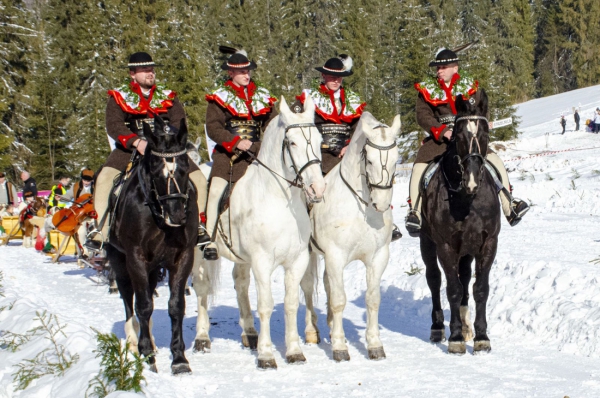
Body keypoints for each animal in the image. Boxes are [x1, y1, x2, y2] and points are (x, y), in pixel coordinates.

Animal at [108, 115, 199, 374]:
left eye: (185, 168)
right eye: (157, 172)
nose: (178, 216)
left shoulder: (182, 257)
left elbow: (176, 305)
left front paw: (179, 358)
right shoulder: (135, 258)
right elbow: (143, 305)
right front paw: (146, 352)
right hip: (119, 260)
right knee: (128, 298)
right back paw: (133, 341)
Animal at [191, 95, 324, 368]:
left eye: (318, 140)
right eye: (292, 142)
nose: (317, 188)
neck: (278, 200)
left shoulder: (297, 260)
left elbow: (291, 304)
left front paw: (294, 351)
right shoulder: (262, 262)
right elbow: (265, 305)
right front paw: (266, 355)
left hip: (242, 259)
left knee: (240, 285)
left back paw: (250, 333)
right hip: (199, 253)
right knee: (201, 288)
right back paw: (202, 338)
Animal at [302, 111, 400, 360]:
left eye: (396, 159)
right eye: (370, 161)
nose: (381, 203)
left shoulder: (378, 257)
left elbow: (372, 299)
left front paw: (374, 344)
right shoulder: (335, 256)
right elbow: (338, 300)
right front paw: (339, 347)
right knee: (307, 288)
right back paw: (312, 332)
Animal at [420, 90, 500, 354]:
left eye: (485, 135)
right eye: (459, 134)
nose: (472, 180)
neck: (467, 199)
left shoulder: (488, 243)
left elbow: (480, 289)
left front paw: (481, 336)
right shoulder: (445, 246)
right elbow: (452, 289)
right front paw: (455, 338)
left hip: (466, 249)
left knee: (464, 279)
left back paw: (466, 327)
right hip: (427, 241)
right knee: (434, 279)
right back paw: (438, 327)